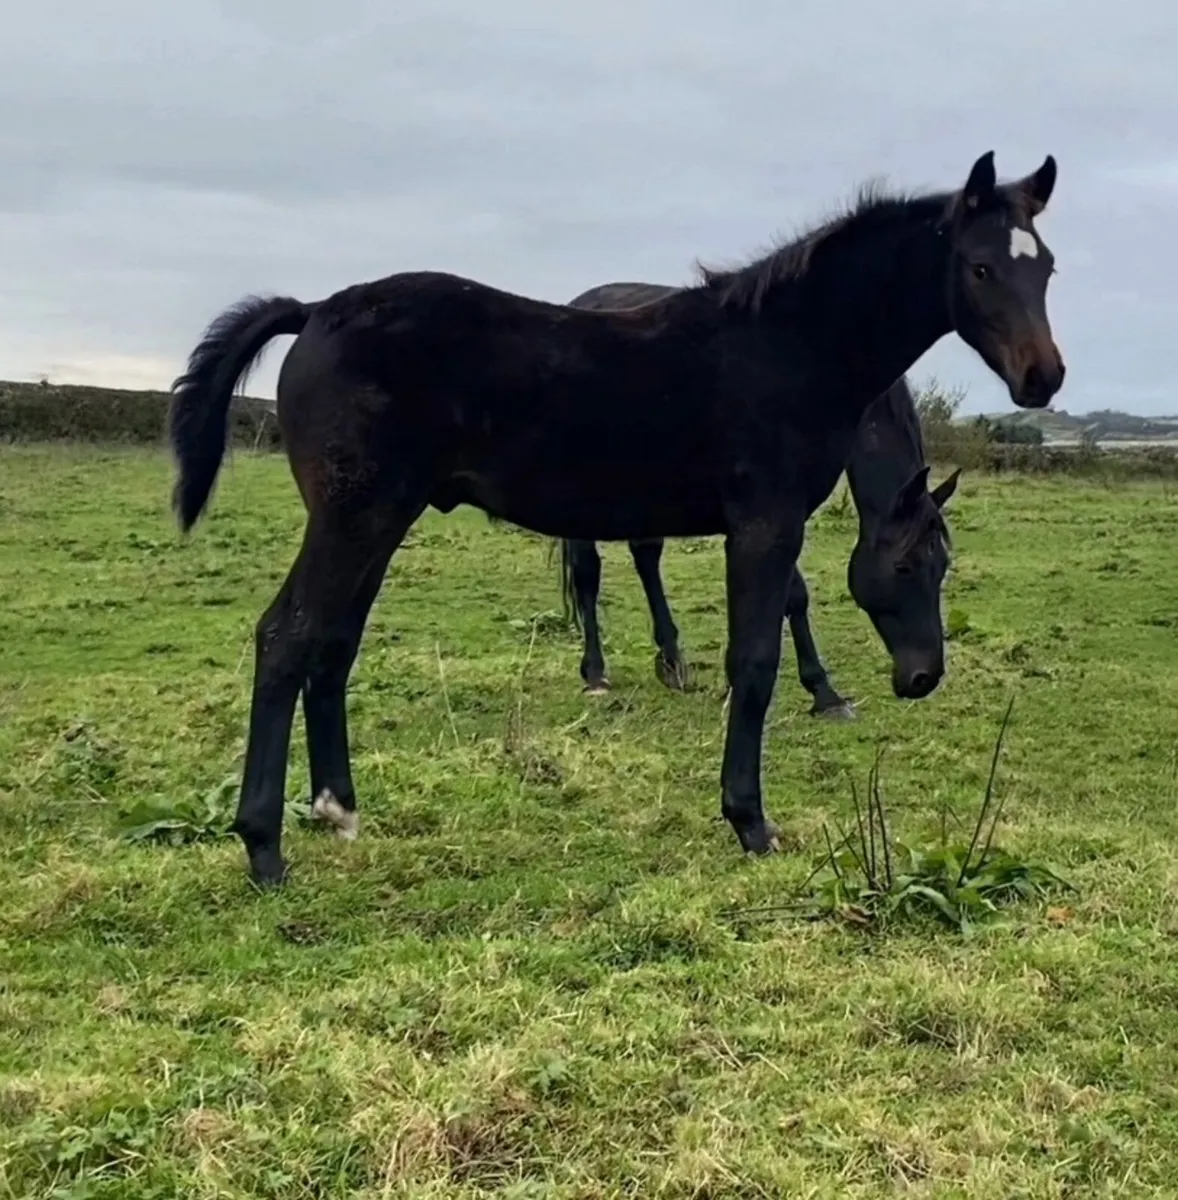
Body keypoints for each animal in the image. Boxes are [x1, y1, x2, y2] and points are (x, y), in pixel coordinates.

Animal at [554, 294, 957, 717]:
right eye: (903, 567)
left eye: (942, 567)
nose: (924, 678)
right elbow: (794, 595)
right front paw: (823, 691)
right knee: (587, 572)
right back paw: (596, 674)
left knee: (646, 556)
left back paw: (673, 664)